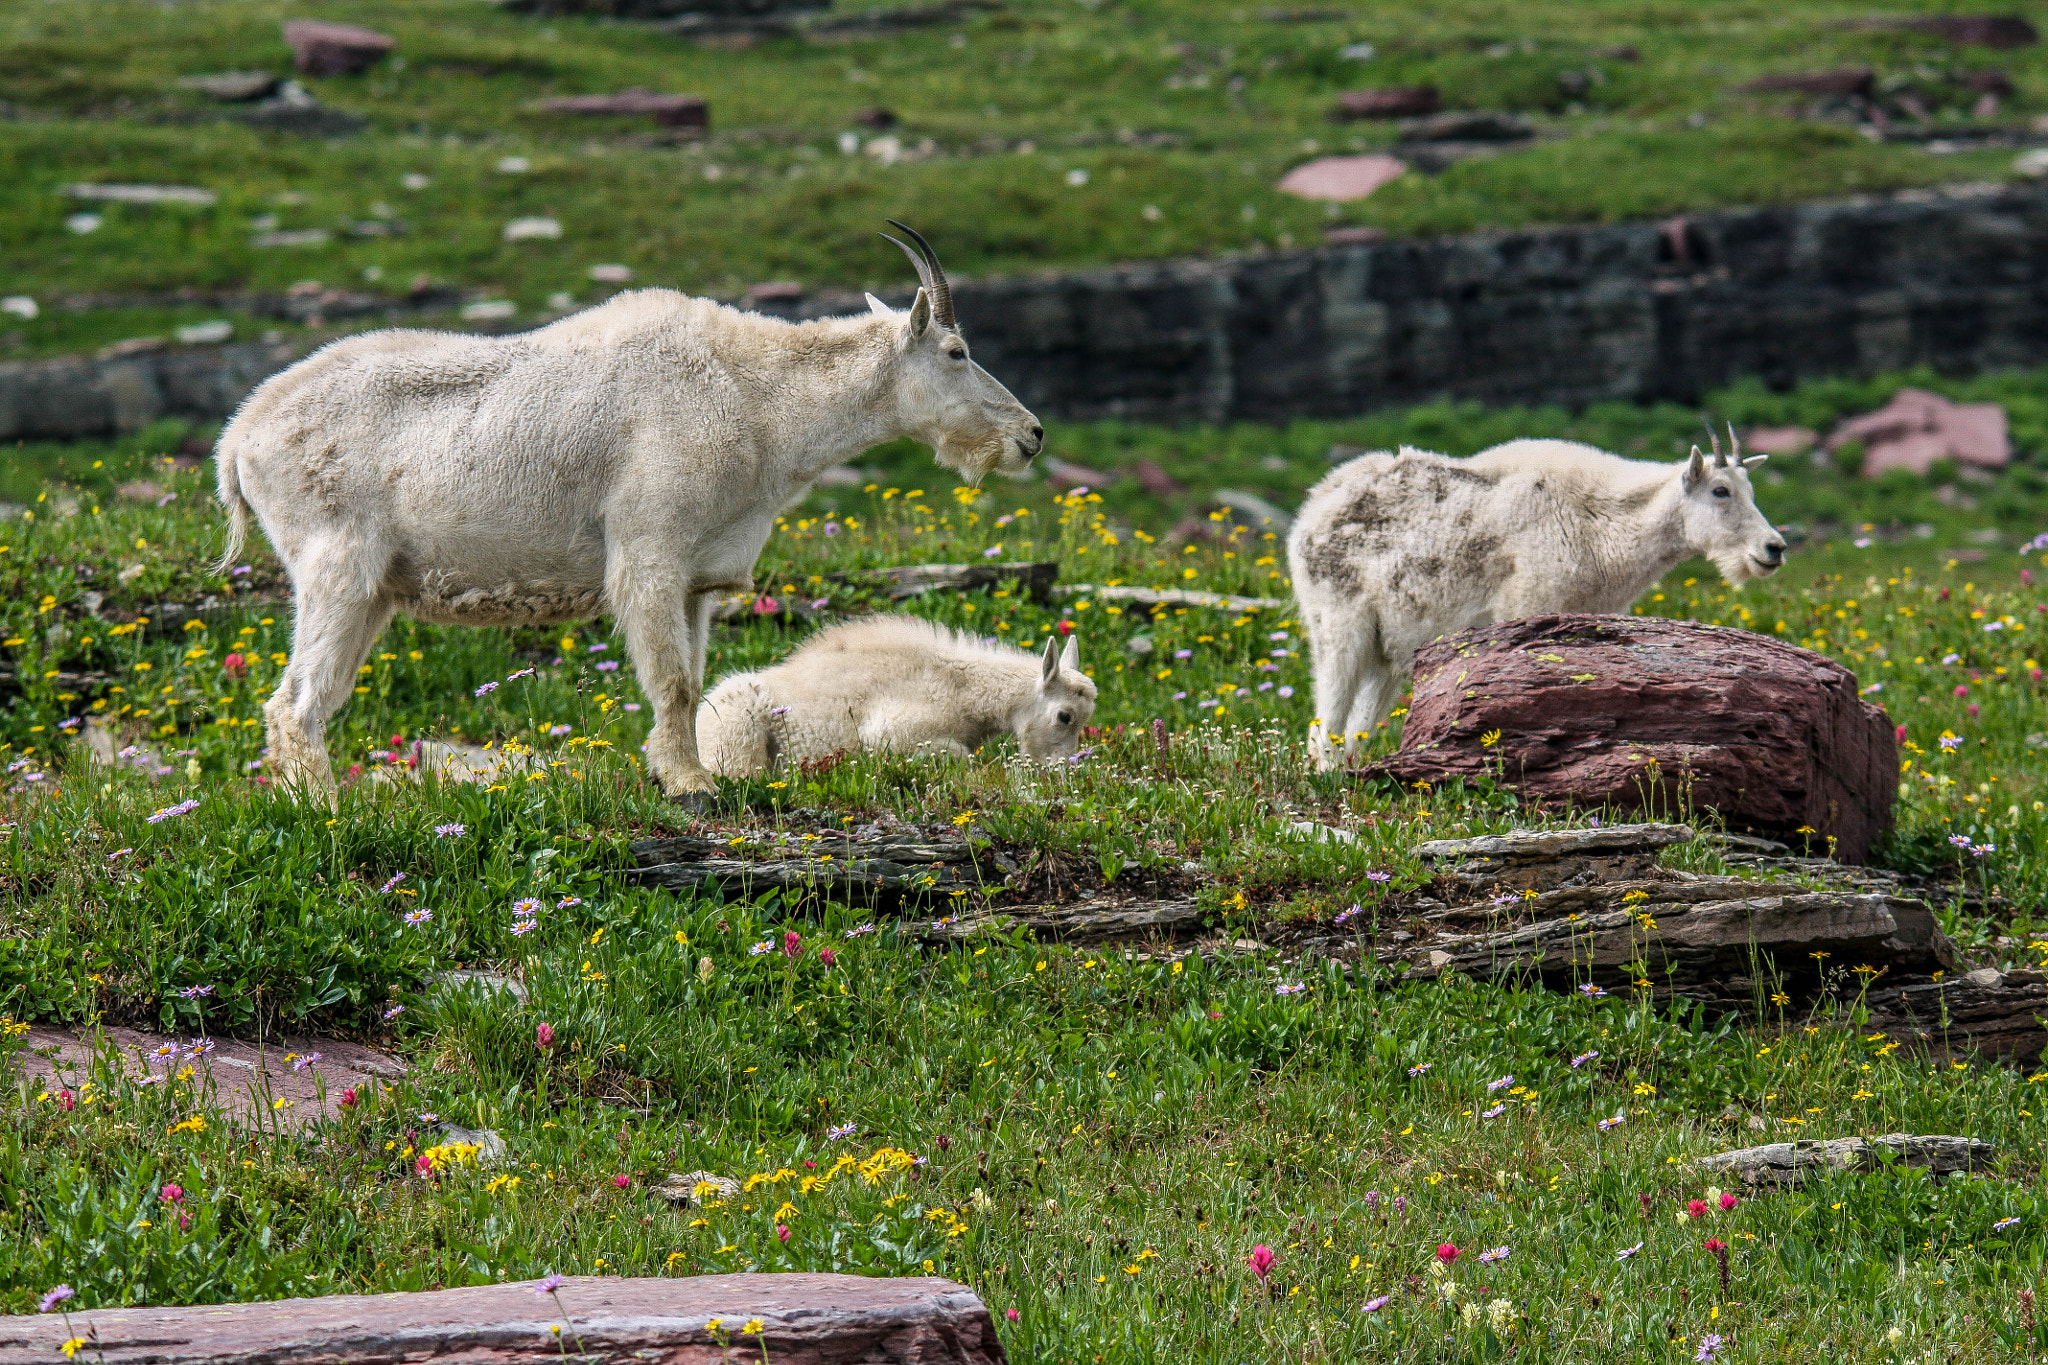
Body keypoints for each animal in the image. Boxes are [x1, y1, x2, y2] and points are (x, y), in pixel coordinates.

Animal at [214, 223, 1042, 799]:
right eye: (957, 351)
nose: (1030, 435)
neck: (756, 398)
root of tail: (239, 439)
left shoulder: (699, 577)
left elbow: (696, 681)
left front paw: (686, 771)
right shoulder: (650, 549)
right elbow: (672, 680)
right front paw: (691, 784)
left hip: (375, 591)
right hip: (336, 567)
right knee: (294, 704)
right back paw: (325, 811)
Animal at [1287, 435, 1785, 769]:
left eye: (1751, 490)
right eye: (1720, 490)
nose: (1773, 548)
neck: (1604, 522)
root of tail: (1311, 511)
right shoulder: (1528, 607)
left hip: (1387, 650)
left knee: (1358, 722)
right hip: (1338, 623)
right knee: (1327, 717)